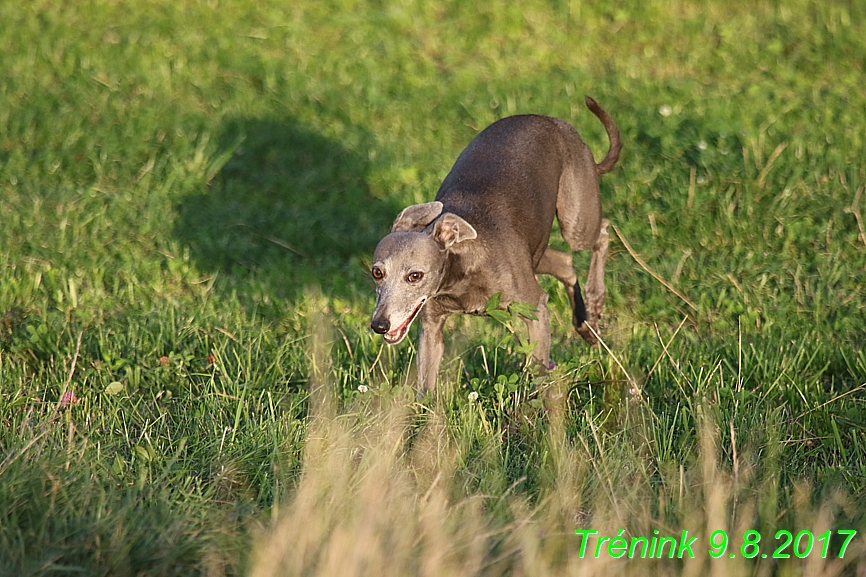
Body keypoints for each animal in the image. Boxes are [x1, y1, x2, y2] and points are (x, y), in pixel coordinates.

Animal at [368, 97, 616, 394]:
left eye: (415, 276)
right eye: (377, 272)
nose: (379, 325)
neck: (462, 265)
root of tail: (555, 121)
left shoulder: (535, 307)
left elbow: (538, 371)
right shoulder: (430, 325)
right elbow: (425, 388)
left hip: (576, 221)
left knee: (602, 231)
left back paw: (595, 301)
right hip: (534, 252)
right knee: (565, 262)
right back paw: (585, 325)